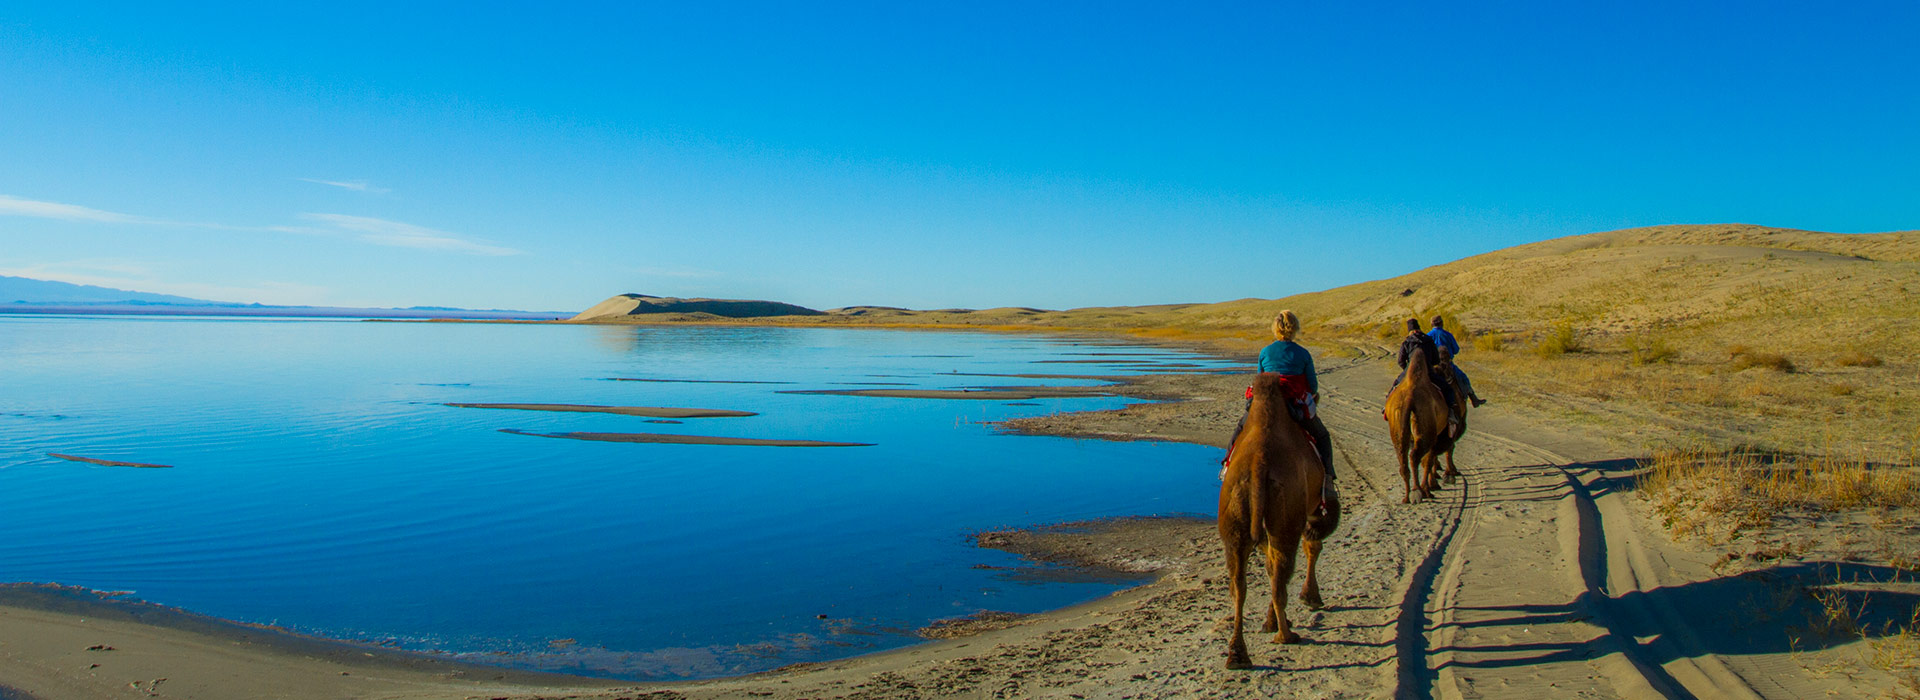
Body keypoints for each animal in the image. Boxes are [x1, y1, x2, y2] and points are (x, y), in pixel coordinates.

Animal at [1221, 370, 1344, 663]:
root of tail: (1258, 464)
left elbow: (1267, 564)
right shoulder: (1312, 509)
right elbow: (1312, 545)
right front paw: (1311, 597)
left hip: (1235, 520)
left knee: (1239, 584)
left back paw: (1238, 654)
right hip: (1287, 519)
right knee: (1282, 571)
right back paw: (1285, 635)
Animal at [1390, 341, 1443, 498]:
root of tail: (1409, 399)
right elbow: (1429, 460)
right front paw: (1431, 486)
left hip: (1398, 430)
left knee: (1402, 458)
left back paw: (1408, 496)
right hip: (1427, 434)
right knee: (1416, 457)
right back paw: (1419, 491)